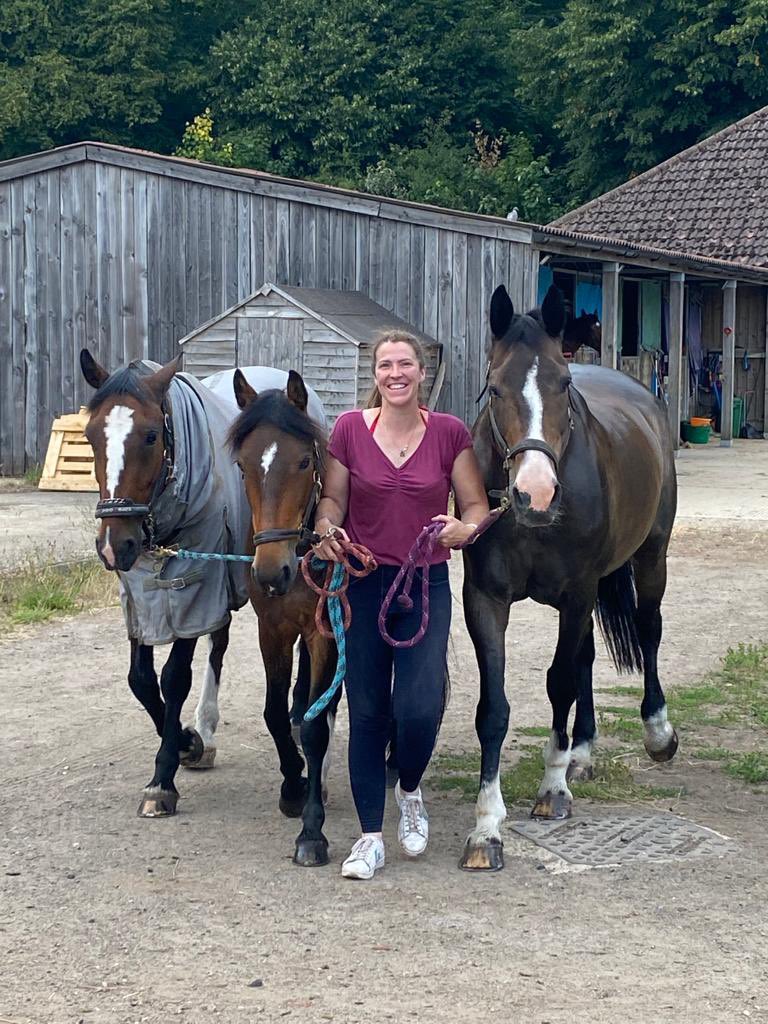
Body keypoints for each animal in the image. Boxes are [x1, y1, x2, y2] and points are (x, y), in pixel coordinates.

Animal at [79, 350, 253, 817]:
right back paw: (203, 732)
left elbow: (174, 677)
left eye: (151, 435)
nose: (112, 545)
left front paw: (164, 777)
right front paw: (186, 742)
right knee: (218, 641)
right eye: (89, 435)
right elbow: (140, 679)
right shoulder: (140, 596)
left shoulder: (193, 586)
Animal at [459, 284, 678, 871]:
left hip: (651, 557)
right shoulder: (484, 599)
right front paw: (486, 828)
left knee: (648, 631)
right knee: (586, 658)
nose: (535, 494)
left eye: (562, 384)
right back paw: (581, 751)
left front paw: (552, 790)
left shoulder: (578, 592)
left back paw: (658, 733)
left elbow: (558, 681)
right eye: (494, 387)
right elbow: (494, 709)